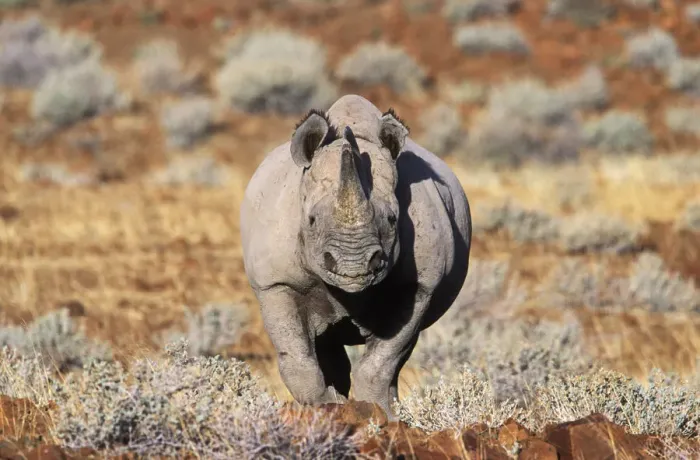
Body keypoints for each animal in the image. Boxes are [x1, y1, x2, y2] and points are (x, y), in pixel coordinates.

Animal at [240, 94, 472, 419]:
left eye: (392, 219)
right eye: (311, 220)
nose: (355, 266)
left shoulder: (419, 286)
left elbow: (382, 361)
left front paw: (380, 415)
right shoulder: (276, 282)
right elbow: (298, 359)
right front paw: (327, 409)